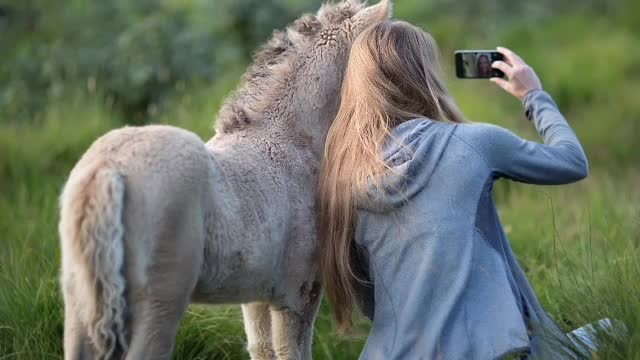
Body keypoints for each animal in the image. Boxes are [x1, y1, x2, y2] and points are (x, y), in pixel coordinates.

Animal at [58, 1, 390, 358]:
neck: (291, 140)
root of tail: (110, 168)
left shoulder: (257, 296)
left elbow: (262, 348)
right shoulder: (298, 294)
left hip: (81, 301)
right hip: (159, 304)